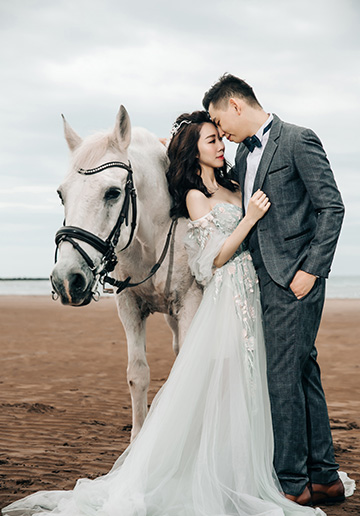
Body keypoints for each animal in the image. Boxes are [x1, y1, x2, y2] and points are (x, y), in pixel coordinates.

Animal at [50, 106, 202, 440]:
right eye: (61, 194)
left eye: (112, 192)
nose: (66, 280)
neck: (152, 238)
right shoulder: (129, 306)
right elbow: (138, 374)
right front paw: (137, 442)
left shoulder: (190, 304)